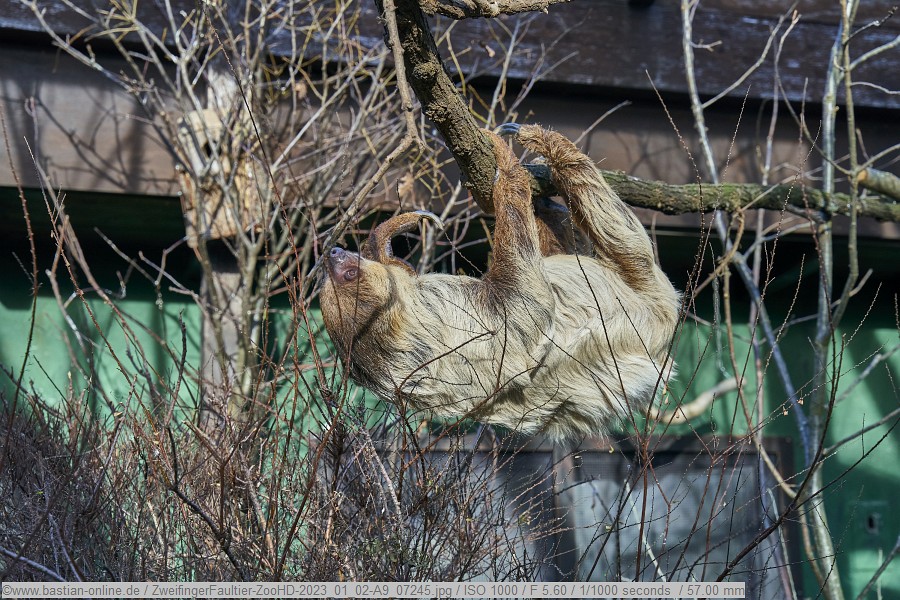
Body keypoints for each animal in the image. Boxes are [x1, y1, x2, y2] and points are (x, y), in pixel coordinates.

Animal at [319, 124, 680, 441]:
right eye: (348, 275)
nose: (333, 253)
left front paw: (386, 238)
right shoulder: (466, 322)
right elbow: (526, 296)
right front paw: (507, 168)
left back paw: (544, 200)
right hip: (651, 303)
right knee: (619, 230)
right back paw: (548, 146)